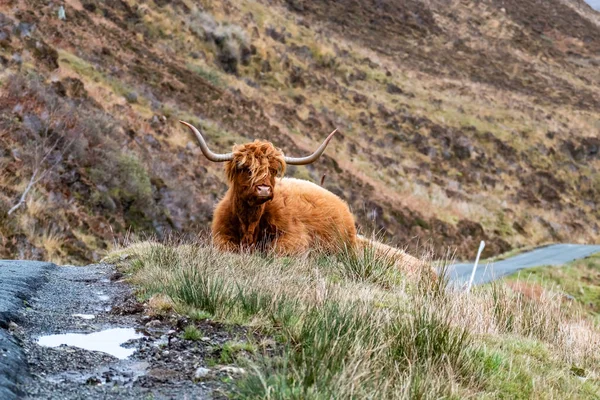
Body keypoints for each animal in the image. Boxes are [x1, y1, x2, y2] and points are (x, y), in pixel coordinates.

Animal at [178, 120, 426, 276]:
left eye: (273, 170)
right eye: (245, 168)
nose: (264, 190)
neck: (250, 222)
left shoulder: (295, 238)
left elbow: (276, 251)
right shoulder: (221, 236)